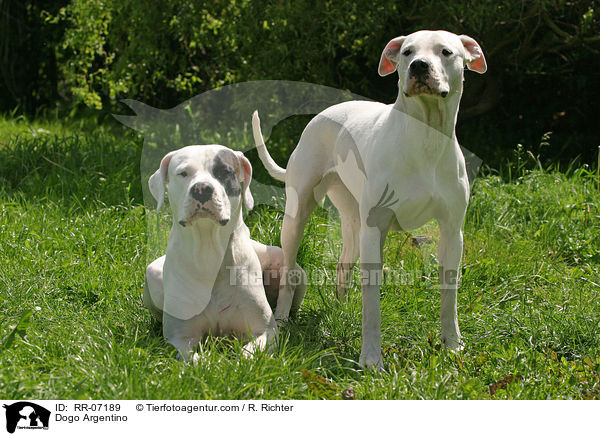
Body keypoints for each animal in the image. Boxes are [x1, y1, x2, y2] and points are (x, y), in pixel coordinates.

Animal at [144, 143, 308, 362]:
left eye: (224, 172)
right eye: (183, 173)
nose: (202, 188)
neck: (209, 250)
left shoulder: (265, 330)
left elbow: (246, 357)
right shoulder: (179, 338)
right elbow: (197, 361)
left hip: (286, 262)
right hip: (152, 272)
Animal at [251, 29, 486, 368]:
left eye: (446, 51)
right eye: (407, 52)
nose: (419, 66)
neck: (425, 137)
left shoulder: (452, 233)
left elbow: (449, 295)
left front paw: (453, 345)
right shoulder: (374, 231)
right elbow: (372, 304)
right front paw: (372, 359)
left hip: (352, 222)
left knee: (343, 265)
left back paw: (341, 309)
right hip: (298, 218)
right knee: (290, 271)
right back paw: (281, 321)